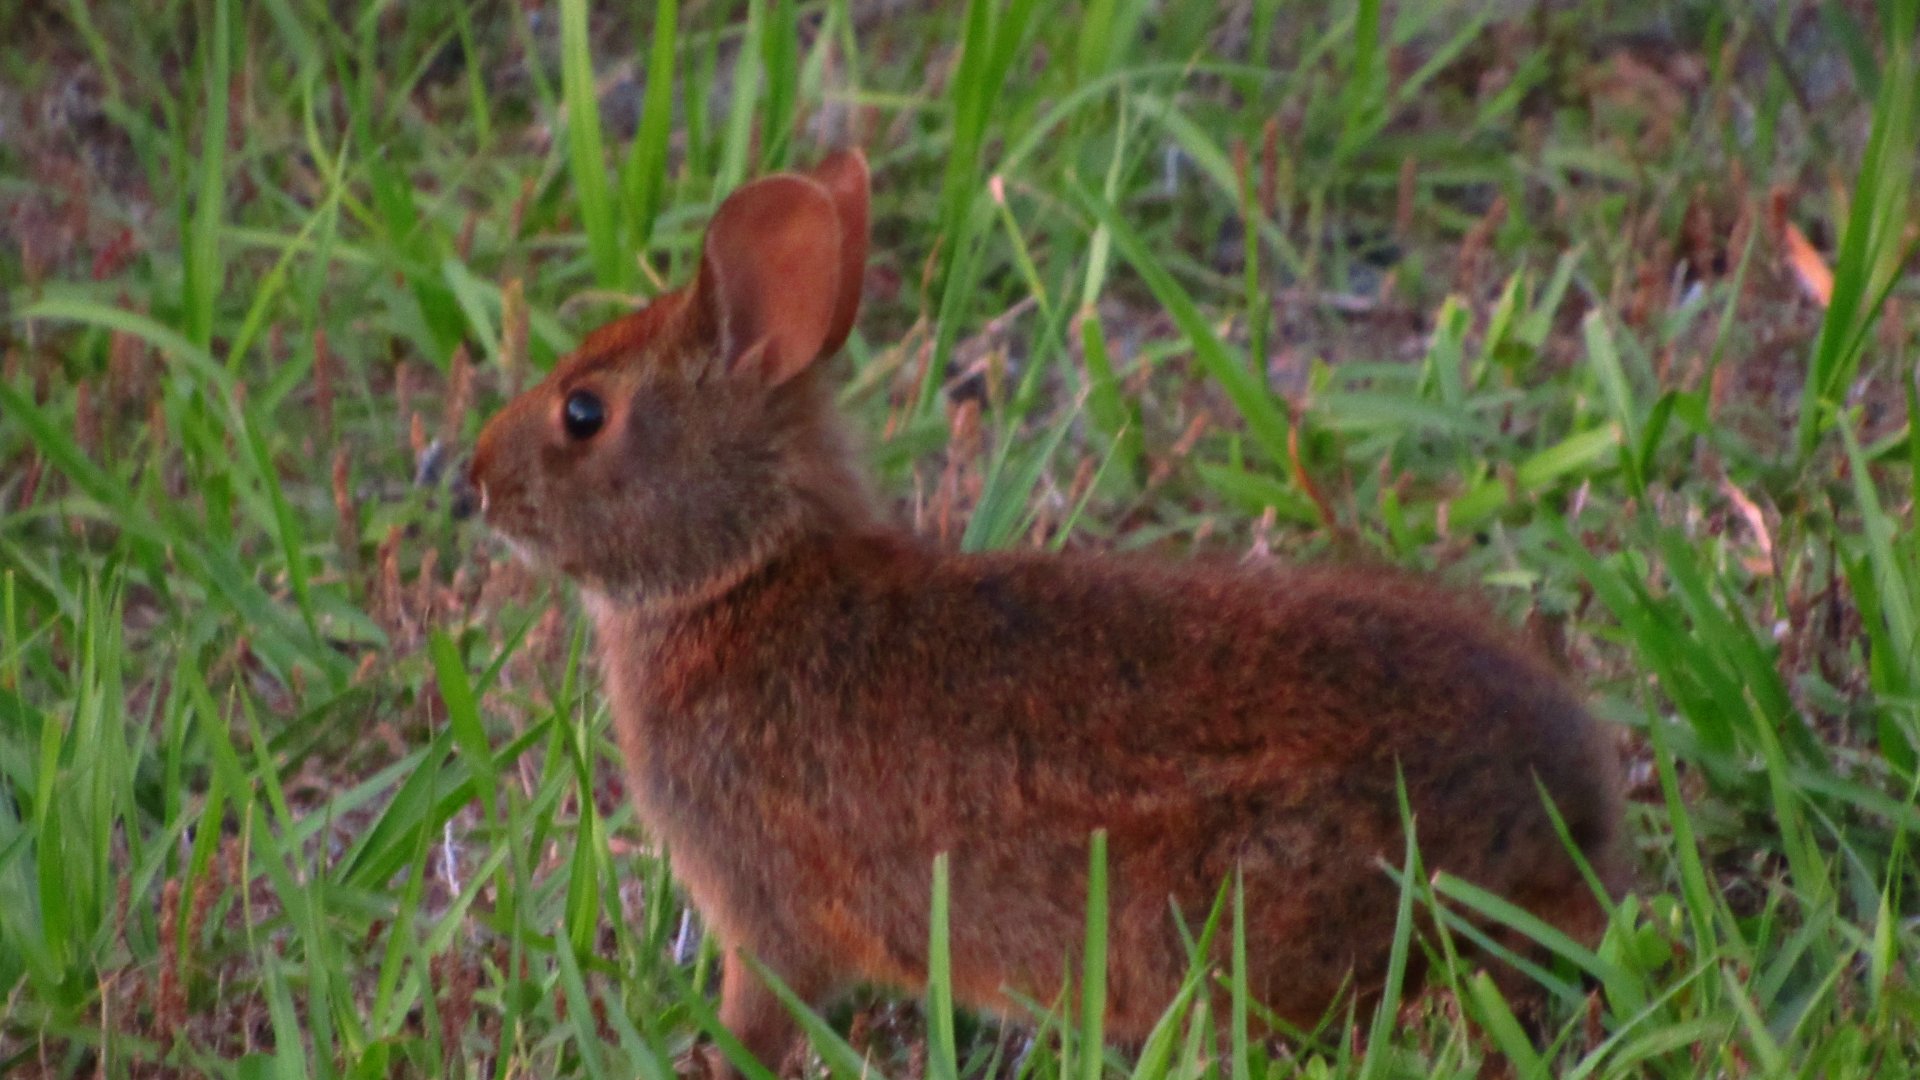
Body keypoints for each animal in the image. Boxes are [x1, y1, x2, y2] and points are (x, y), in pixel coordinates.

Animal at [463, 148, 1627, 1076]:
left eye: (583, 413)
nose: (474, 479)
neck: (743, 575)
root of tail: (1561, 815)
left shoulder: (764, 909)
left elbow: (763, 1013)